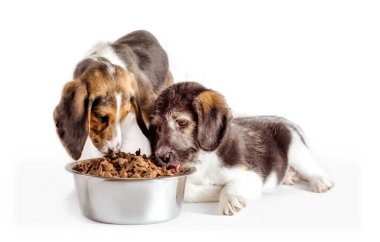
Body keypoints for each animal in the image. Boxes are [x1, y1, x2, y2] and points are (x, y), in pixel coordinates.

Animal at [148, 82, 332, 216]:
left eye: (182, 122)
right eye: (158, 127)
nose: (161, 157)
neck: (204, 160)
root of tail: (286, 121)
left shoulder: (252, 176)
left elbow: (229, 186)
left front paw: (229, 199)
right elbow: (189, 191)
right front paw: (215, 190)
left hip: (297, 149)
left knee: (311, 168)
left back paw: (320, 181)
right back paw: (289, 175)